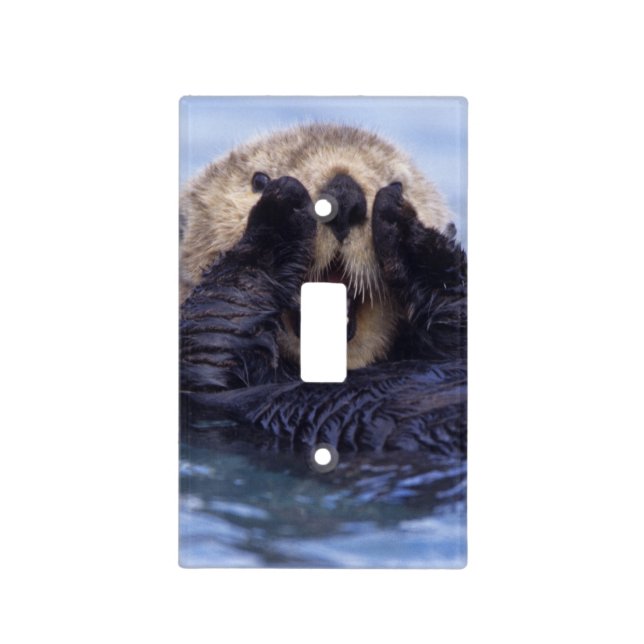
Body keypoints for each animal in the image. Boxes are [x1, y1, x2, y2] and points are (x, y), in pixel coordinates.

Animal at [180, 124, 466, 455]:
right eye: (258, 181)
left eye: (399, 183)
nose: (344, 194)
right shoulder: (204, 378)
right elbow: (216, 327)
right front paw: (281, 207)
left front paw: (405, 224)